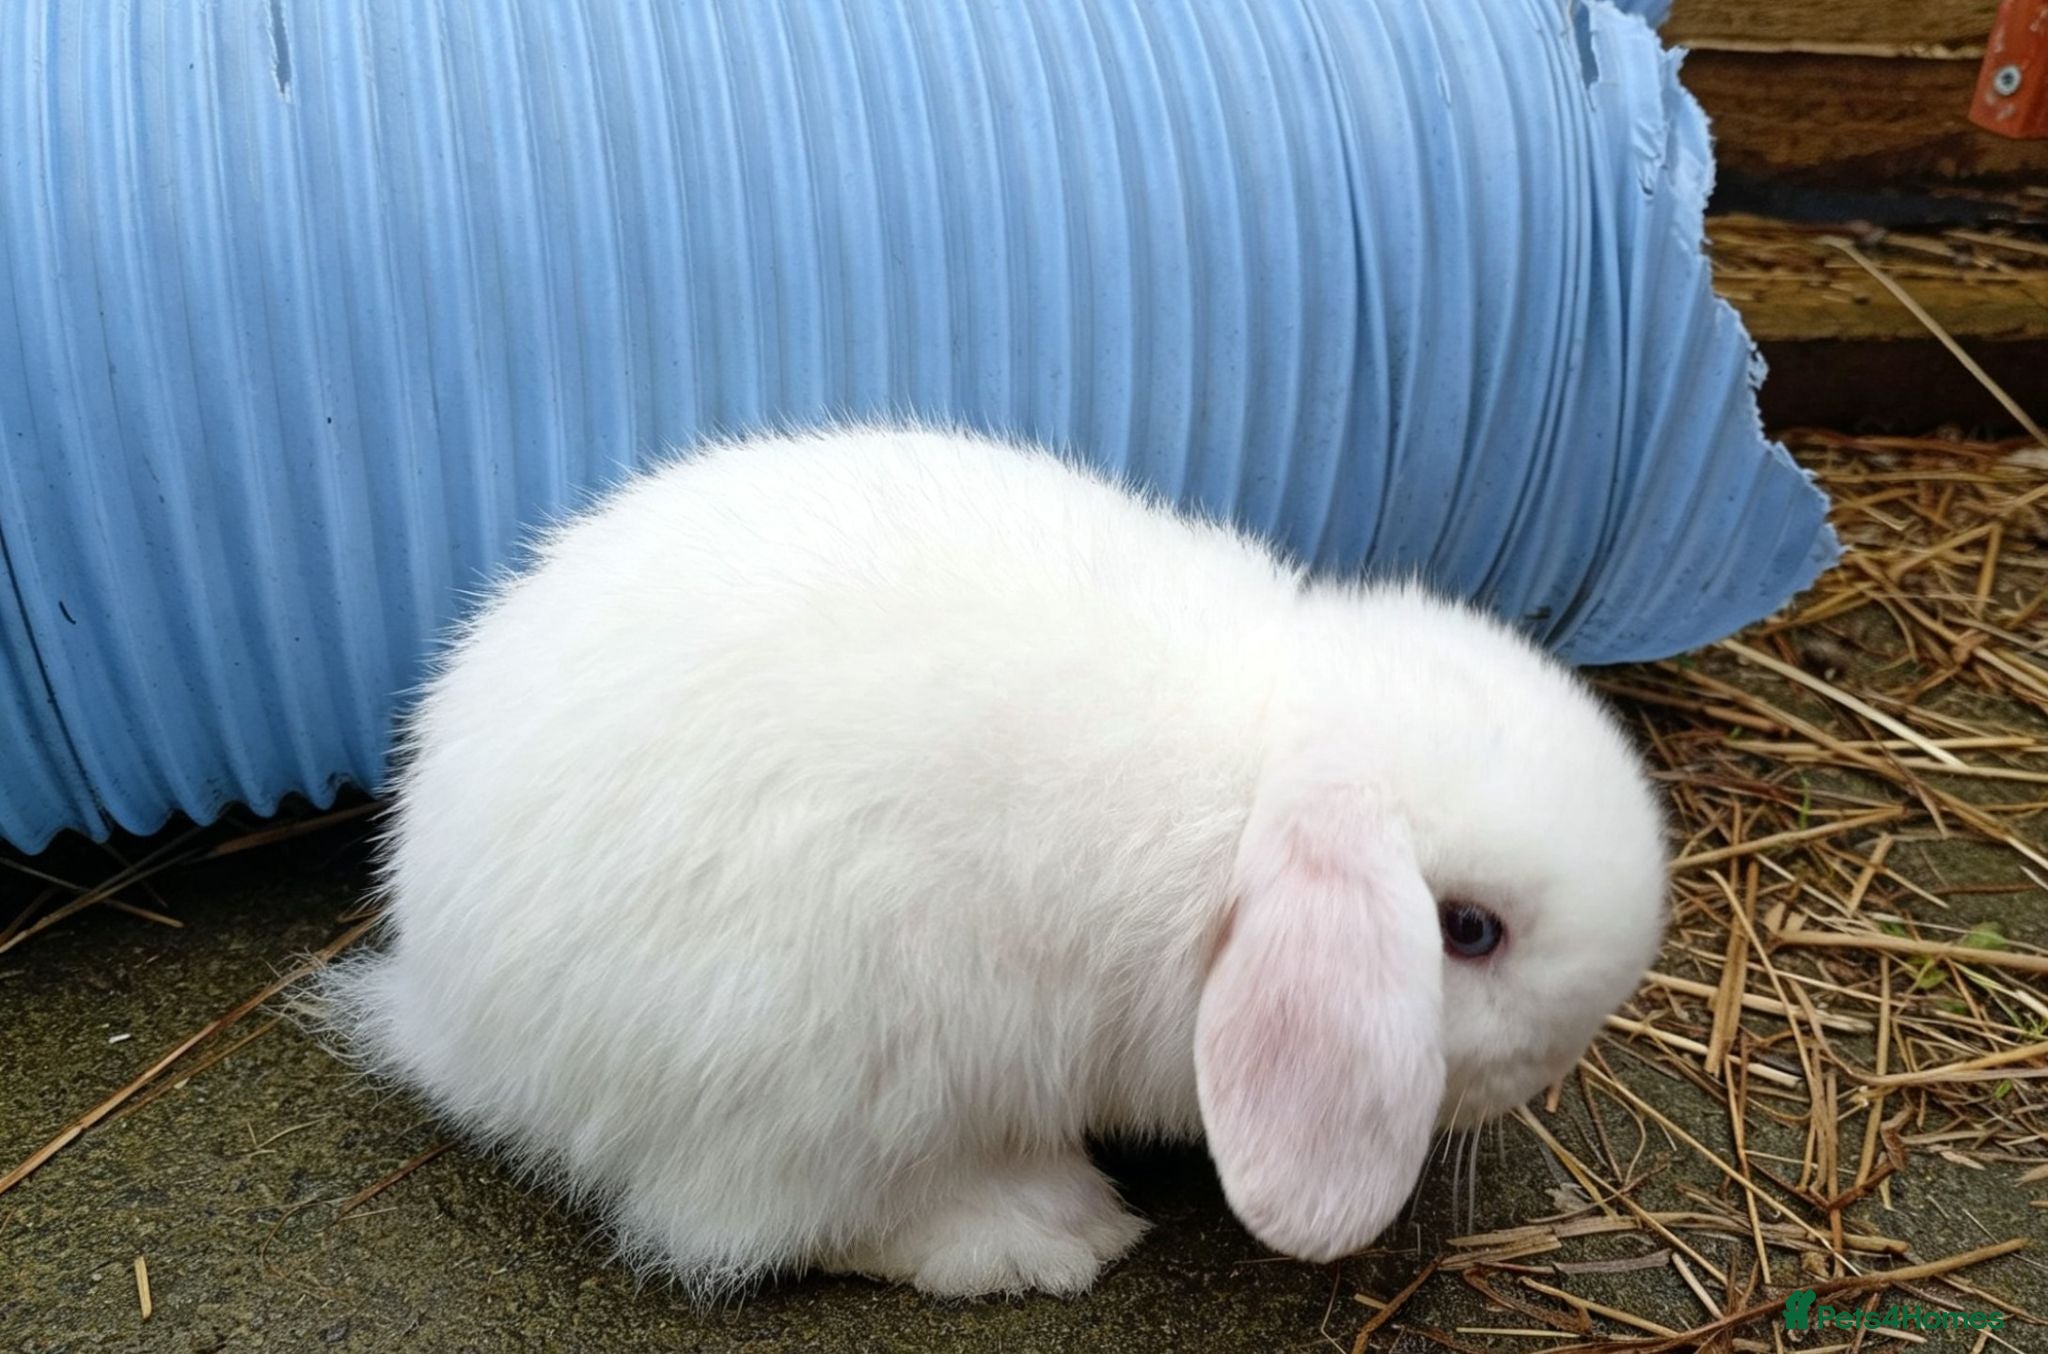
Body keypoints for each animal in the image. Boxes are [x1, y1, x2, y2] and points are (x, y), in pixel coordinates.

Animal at [315, 423, 1668, 1300]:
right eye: (1467, 930)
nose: (1567, 1051)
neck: (1256, 782)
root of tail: (455, 1013)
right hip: (831, 1060)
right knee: (759, 1221)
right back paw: (1046, 1233)